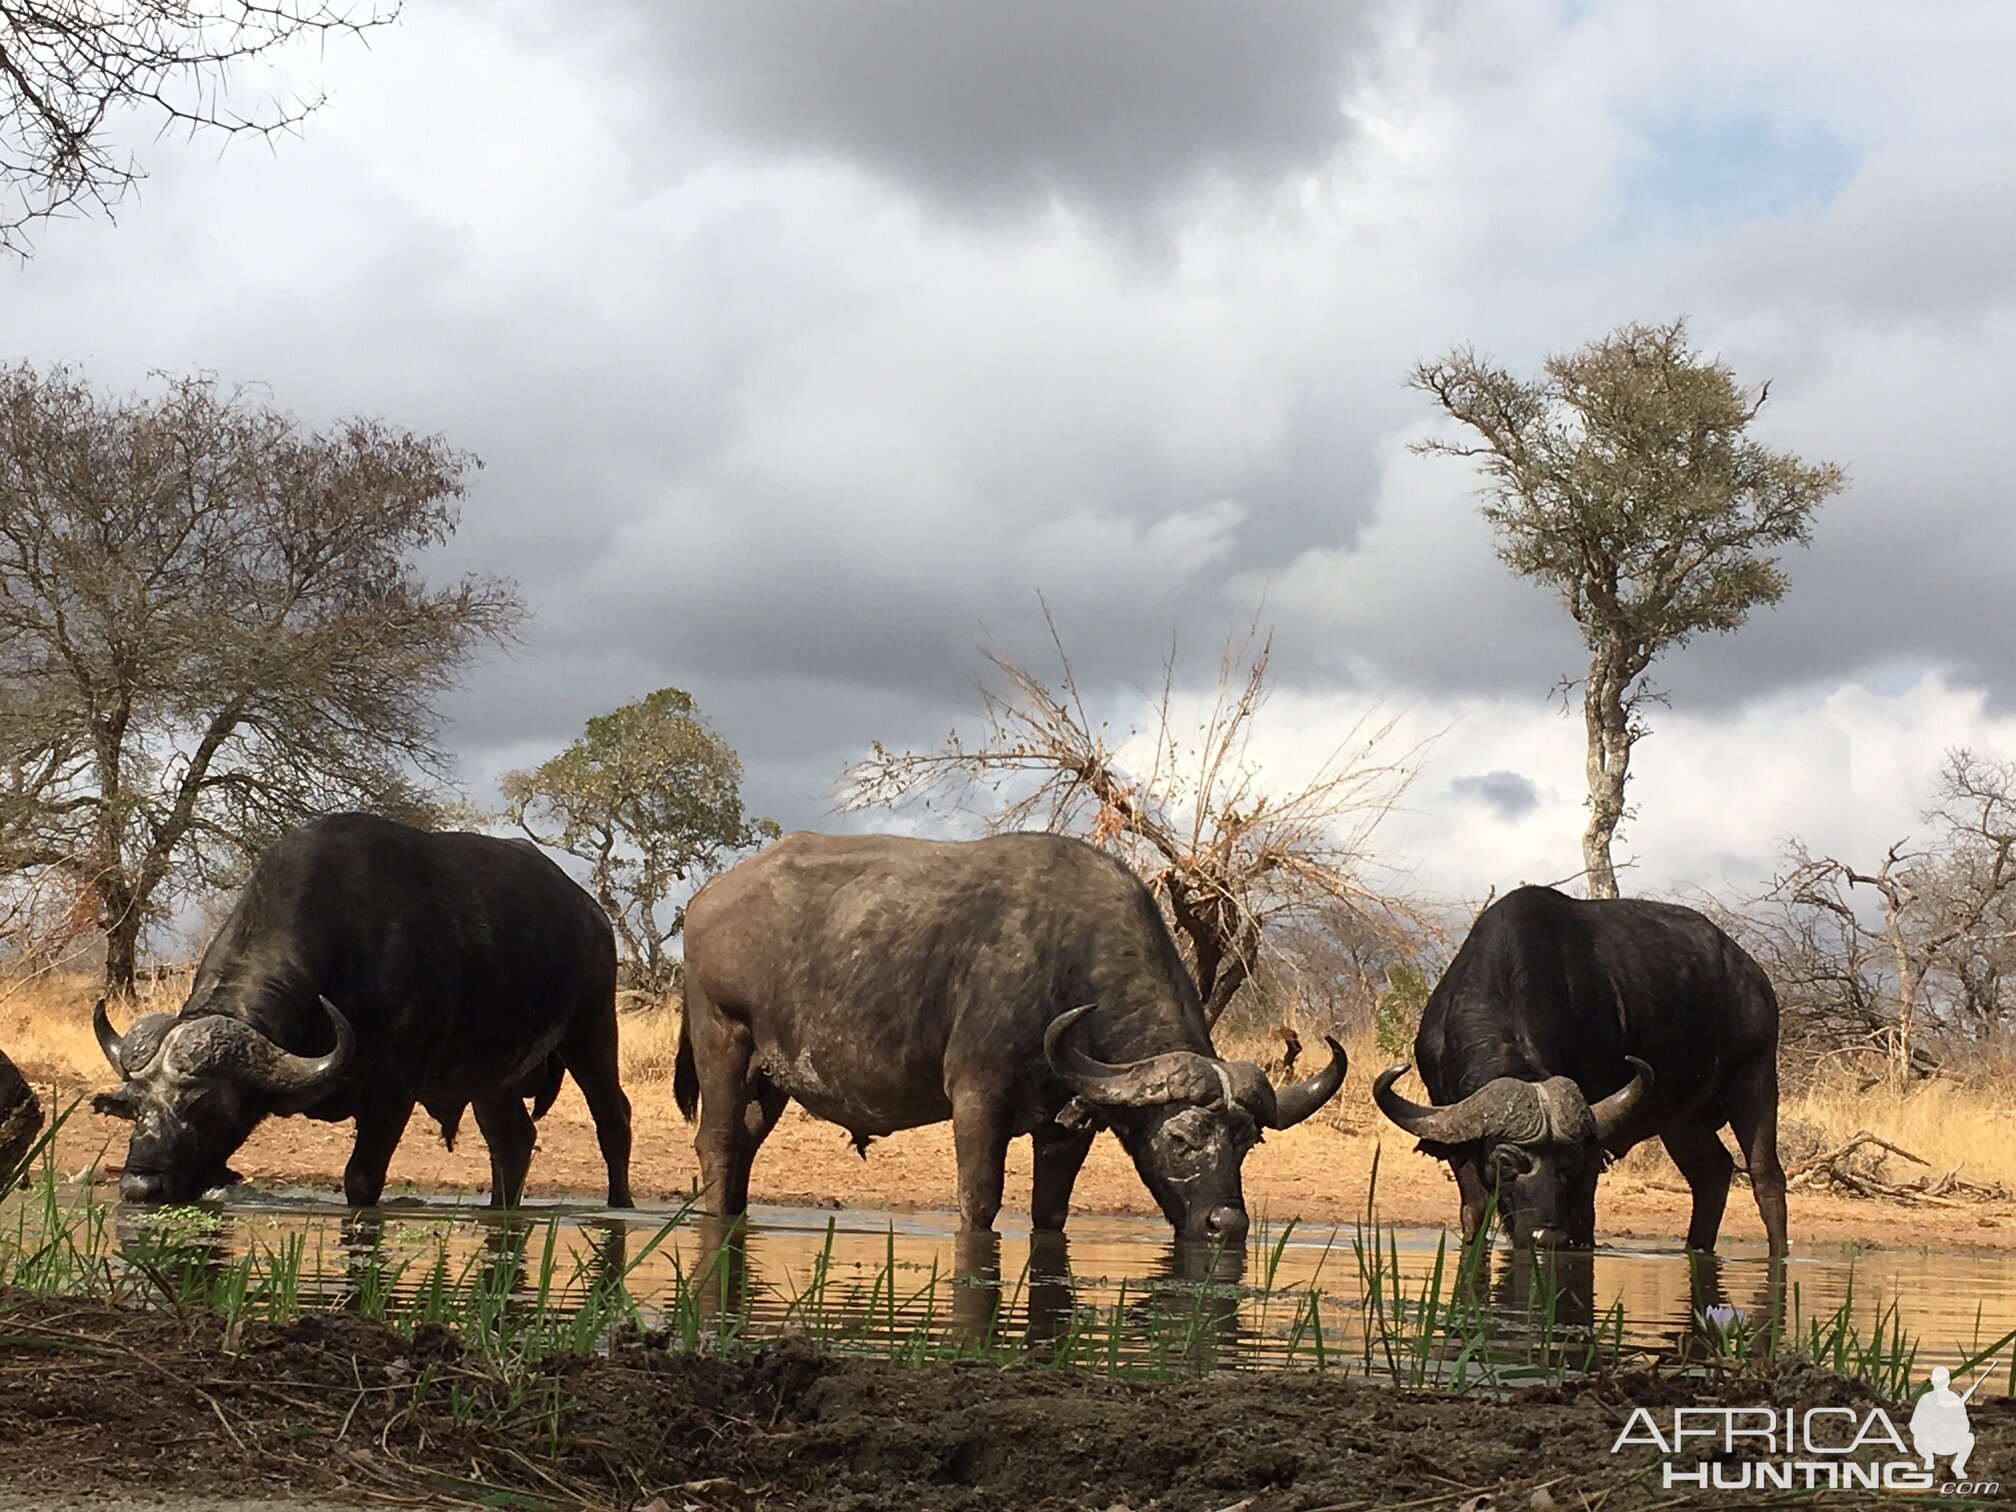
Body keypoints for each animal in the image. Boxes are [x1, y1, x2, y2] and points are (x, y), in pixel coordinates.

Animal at [90, 810, 628, 1217]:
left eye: (204, 1105)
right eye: (133, 1106)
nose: (141, 1187)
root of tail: (591, 914)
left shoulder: (394, 1089)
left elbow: (362, 1179)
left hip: (592, 1032)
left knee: (613, 1118)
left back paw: (619, 1204)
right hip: (493, 1077)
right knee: (512, 1140)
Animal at [677, 830, 1354, 1241]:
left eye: (1246, 1142)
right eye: (1182, 1139)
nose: (1227, 1224)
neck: (1066, 964)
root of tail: (707, 898)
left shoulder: (1067, 1129)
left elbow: (1049, 1212)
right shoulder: (978, 1100)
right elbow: (980, 1199)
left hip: (772, 1080)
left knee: (743, 1149)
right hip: (722, 1041)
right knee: (718, 1145)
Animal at [1370, 887, 1782, 1257]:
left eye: (1570, 1161)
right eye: (1506, 1161)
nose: (1546, 1236)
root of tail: (1754, 976)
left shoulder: (1592, 1149)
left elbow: (1584, 1220)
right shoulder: (1452, 1130)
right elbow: (1475, 1212)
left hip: (1755, 1078)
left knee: (1767, 1178)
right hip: (1681, 1121)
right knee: (1712, 1174)